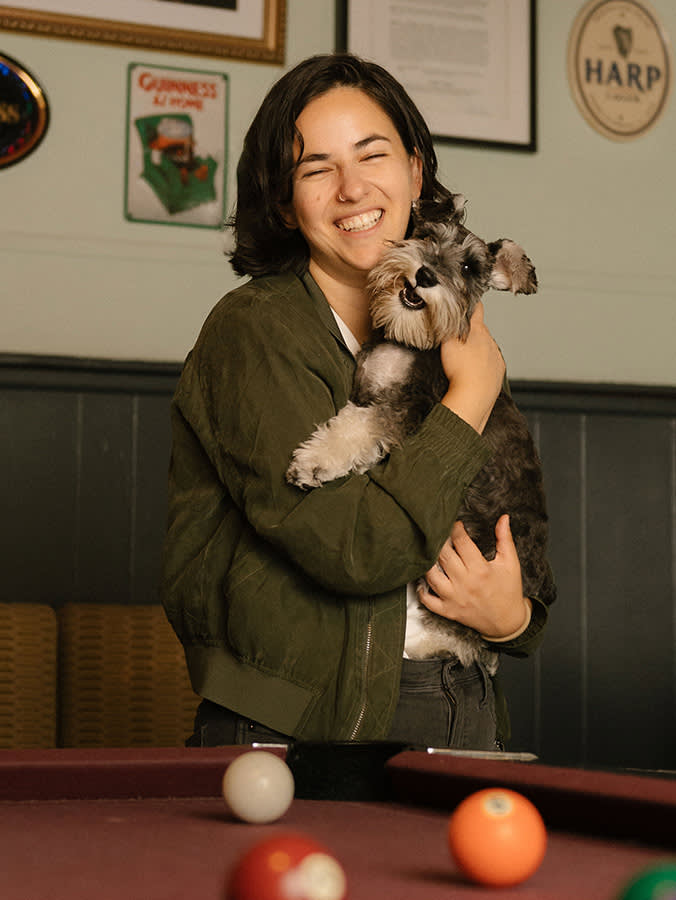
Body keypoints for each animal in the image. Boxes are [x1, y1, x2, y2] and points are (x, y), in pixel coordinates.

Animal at [286, 197, 556, 672]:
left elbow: (361, 426)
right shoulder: (370, 391)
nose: (426, 275)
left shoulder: (409, 412)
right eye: (429, 235)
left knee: (472, 644)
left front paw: (314, 463)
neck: (409, 341)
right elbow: (351, 419)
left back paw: (430, 647)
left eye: (468, 267)